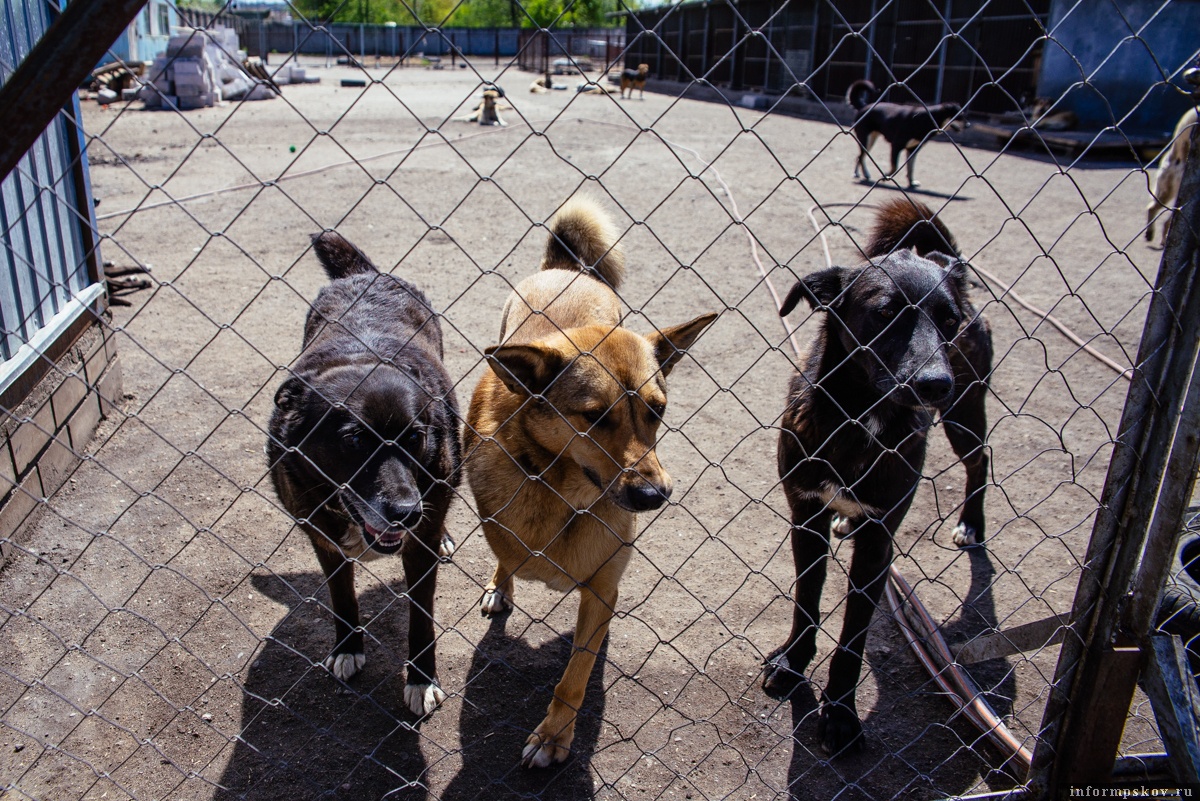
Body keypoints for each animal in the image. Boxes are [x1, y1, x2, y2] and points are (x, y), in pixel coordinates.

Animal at [267, 232, 458, 719]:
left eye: (415, 438)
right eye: (354, 440)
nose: (407, 512)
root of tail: (366, 275)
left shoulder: (419, 546)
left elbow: (421, 615)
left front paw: (422, 678)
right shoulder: (323, 539)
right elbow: (341, 597)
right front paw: (348, 647)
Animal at [463, 196, 715, 767]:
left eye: (657, 411)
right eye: (595, 416)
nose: (655, 496)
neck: (564, 495)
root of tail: (568, 270)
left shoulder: (601, 591)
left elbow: (575, 674)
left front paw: (555, 735)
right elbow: (506, 553)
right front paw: (501, 580)